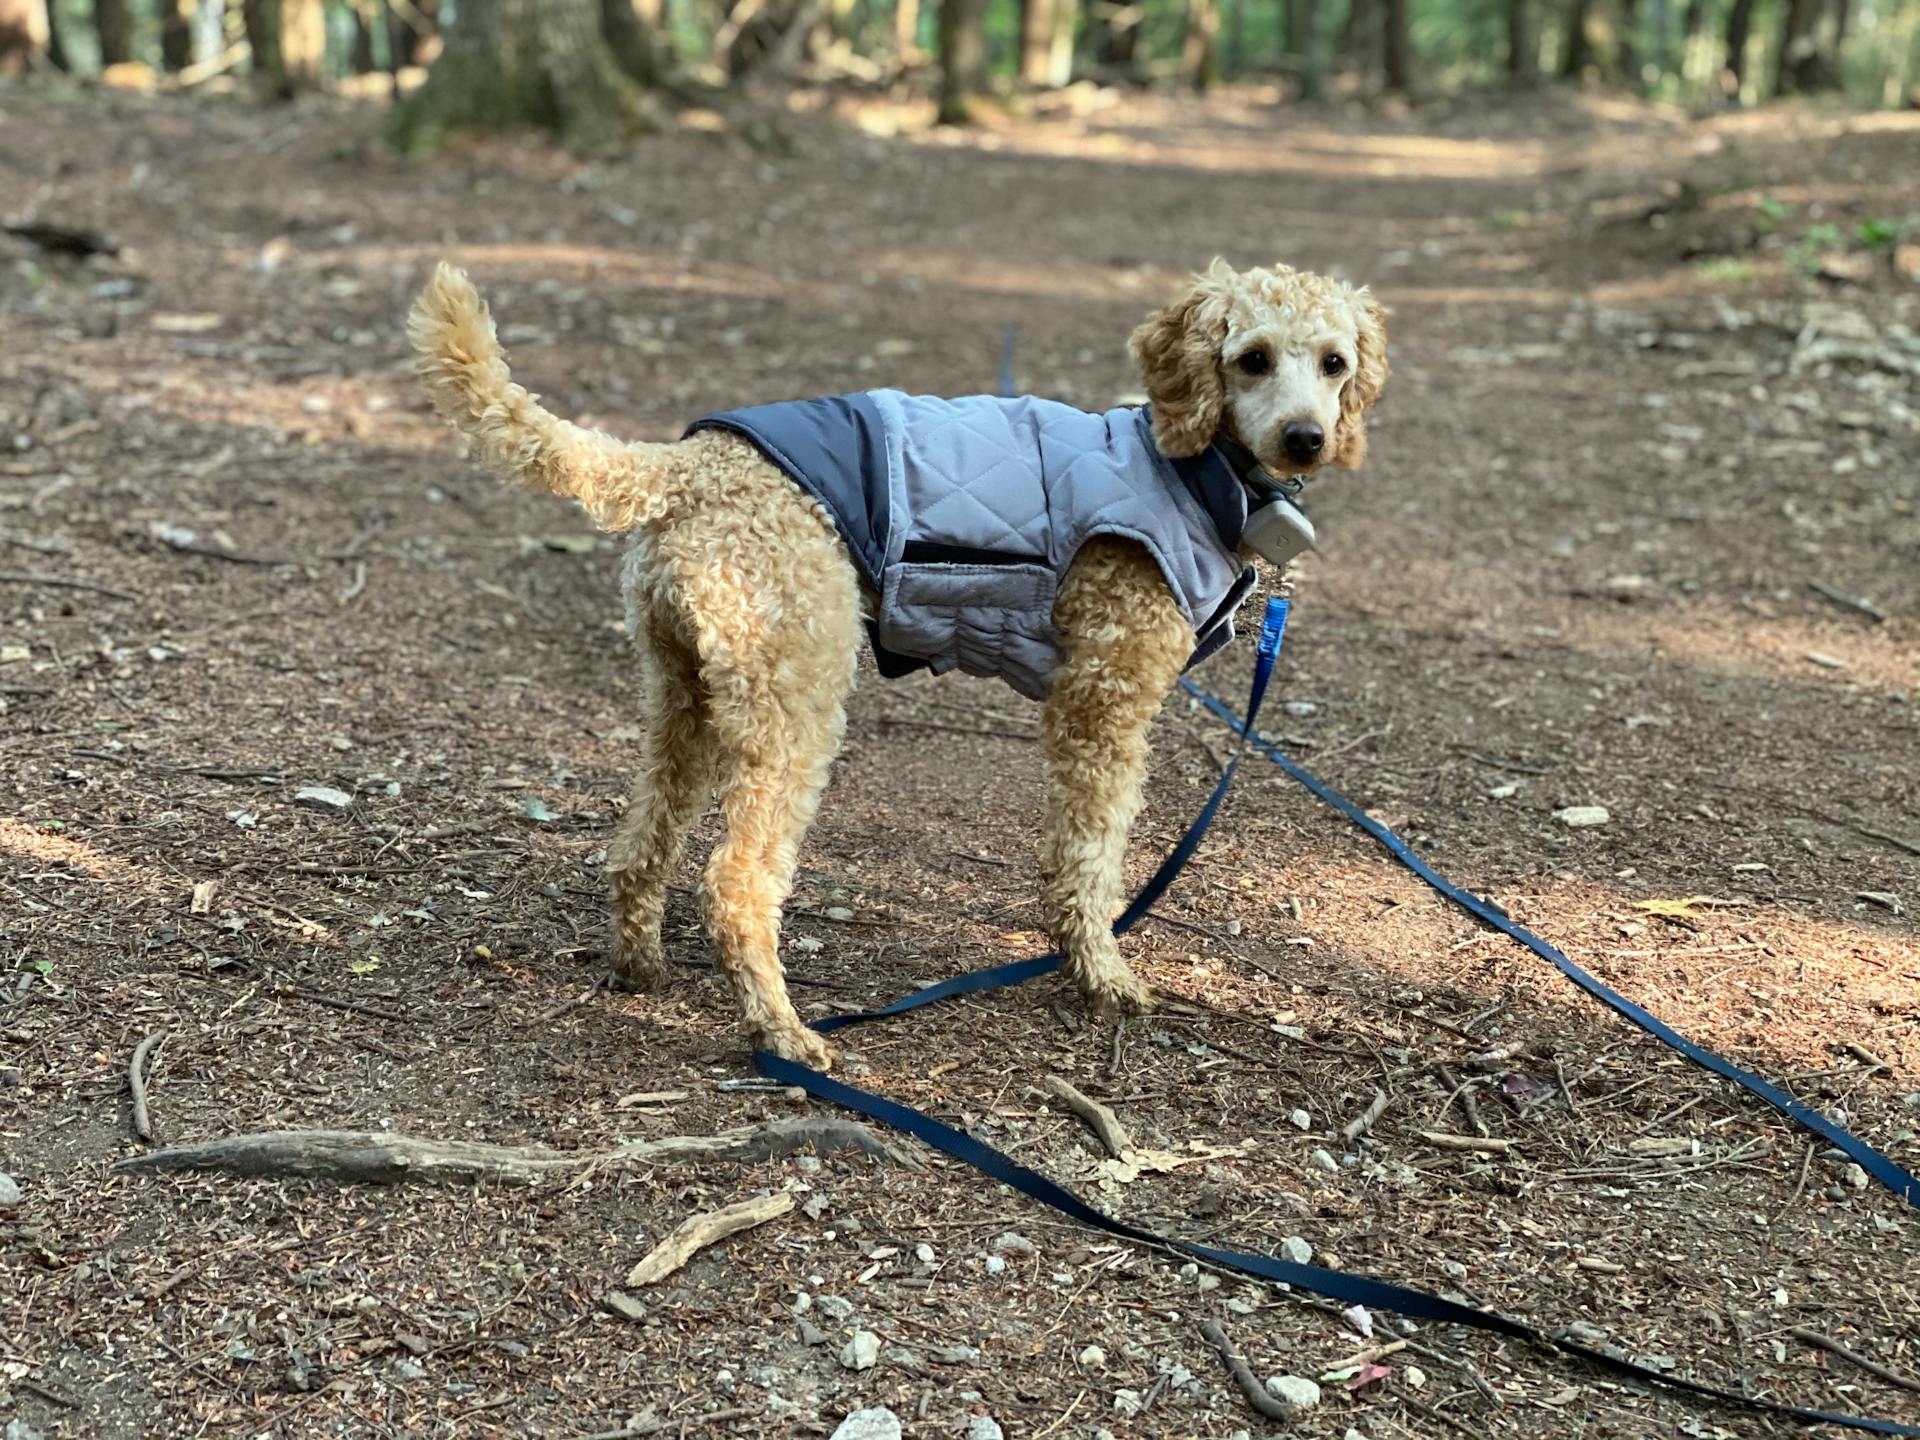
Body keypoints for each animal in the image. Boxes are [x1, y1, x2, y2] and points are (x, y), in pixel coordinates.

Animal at [412, 259, 1390, 1075]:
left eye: (1335, 363)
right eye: (1251, 359)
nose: (1307, 438)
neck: (1187, 471)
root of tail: (688, 465)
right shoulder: (1102, 705)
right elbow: (1093, 853)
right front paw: (1101, 973)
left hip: (684, 691)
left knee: (638, 844)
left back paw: (641, 967)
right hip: (796, 698)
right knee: (735, 886)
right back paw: (784, 1032)